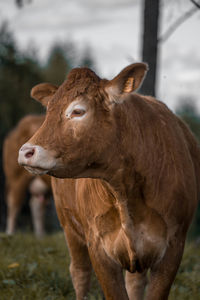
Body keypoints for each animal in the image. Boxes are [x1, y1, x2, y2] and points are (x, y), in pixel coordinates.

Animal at [18, 63, 199, 300]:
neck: (126, 193)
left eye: (78, 111)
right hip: (69, 225)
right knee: (80, 272)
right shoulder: (99, 248)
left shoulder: (174, 246)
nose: (25, 151)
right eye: (48, 111)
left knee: (134, 282)